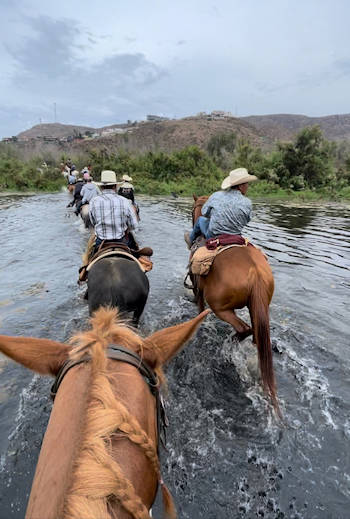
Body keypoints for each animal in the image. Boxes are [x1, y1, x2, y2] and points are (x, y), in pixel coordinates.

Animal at [189, 196, 278, 418]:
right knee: (255, 336)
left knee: (243, 329)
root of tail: (255, 273)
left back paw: (229, 345)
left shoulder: (198, 289)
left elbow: (199, 307)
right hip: (258, 307)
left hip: (220, 307)